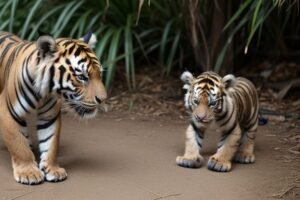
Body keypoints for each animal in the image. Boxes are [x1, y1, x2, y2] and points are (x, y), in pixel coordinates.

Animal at [0, 31, 107, 184]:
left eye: (100, 74)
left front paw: (52, 169)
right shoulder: (9, 112)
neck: (43, 93)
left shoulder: (50, 117)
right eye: (81, 77)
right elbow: (18, 144)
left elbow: (51, 143)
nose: (103, 99)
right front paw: (28, 172)